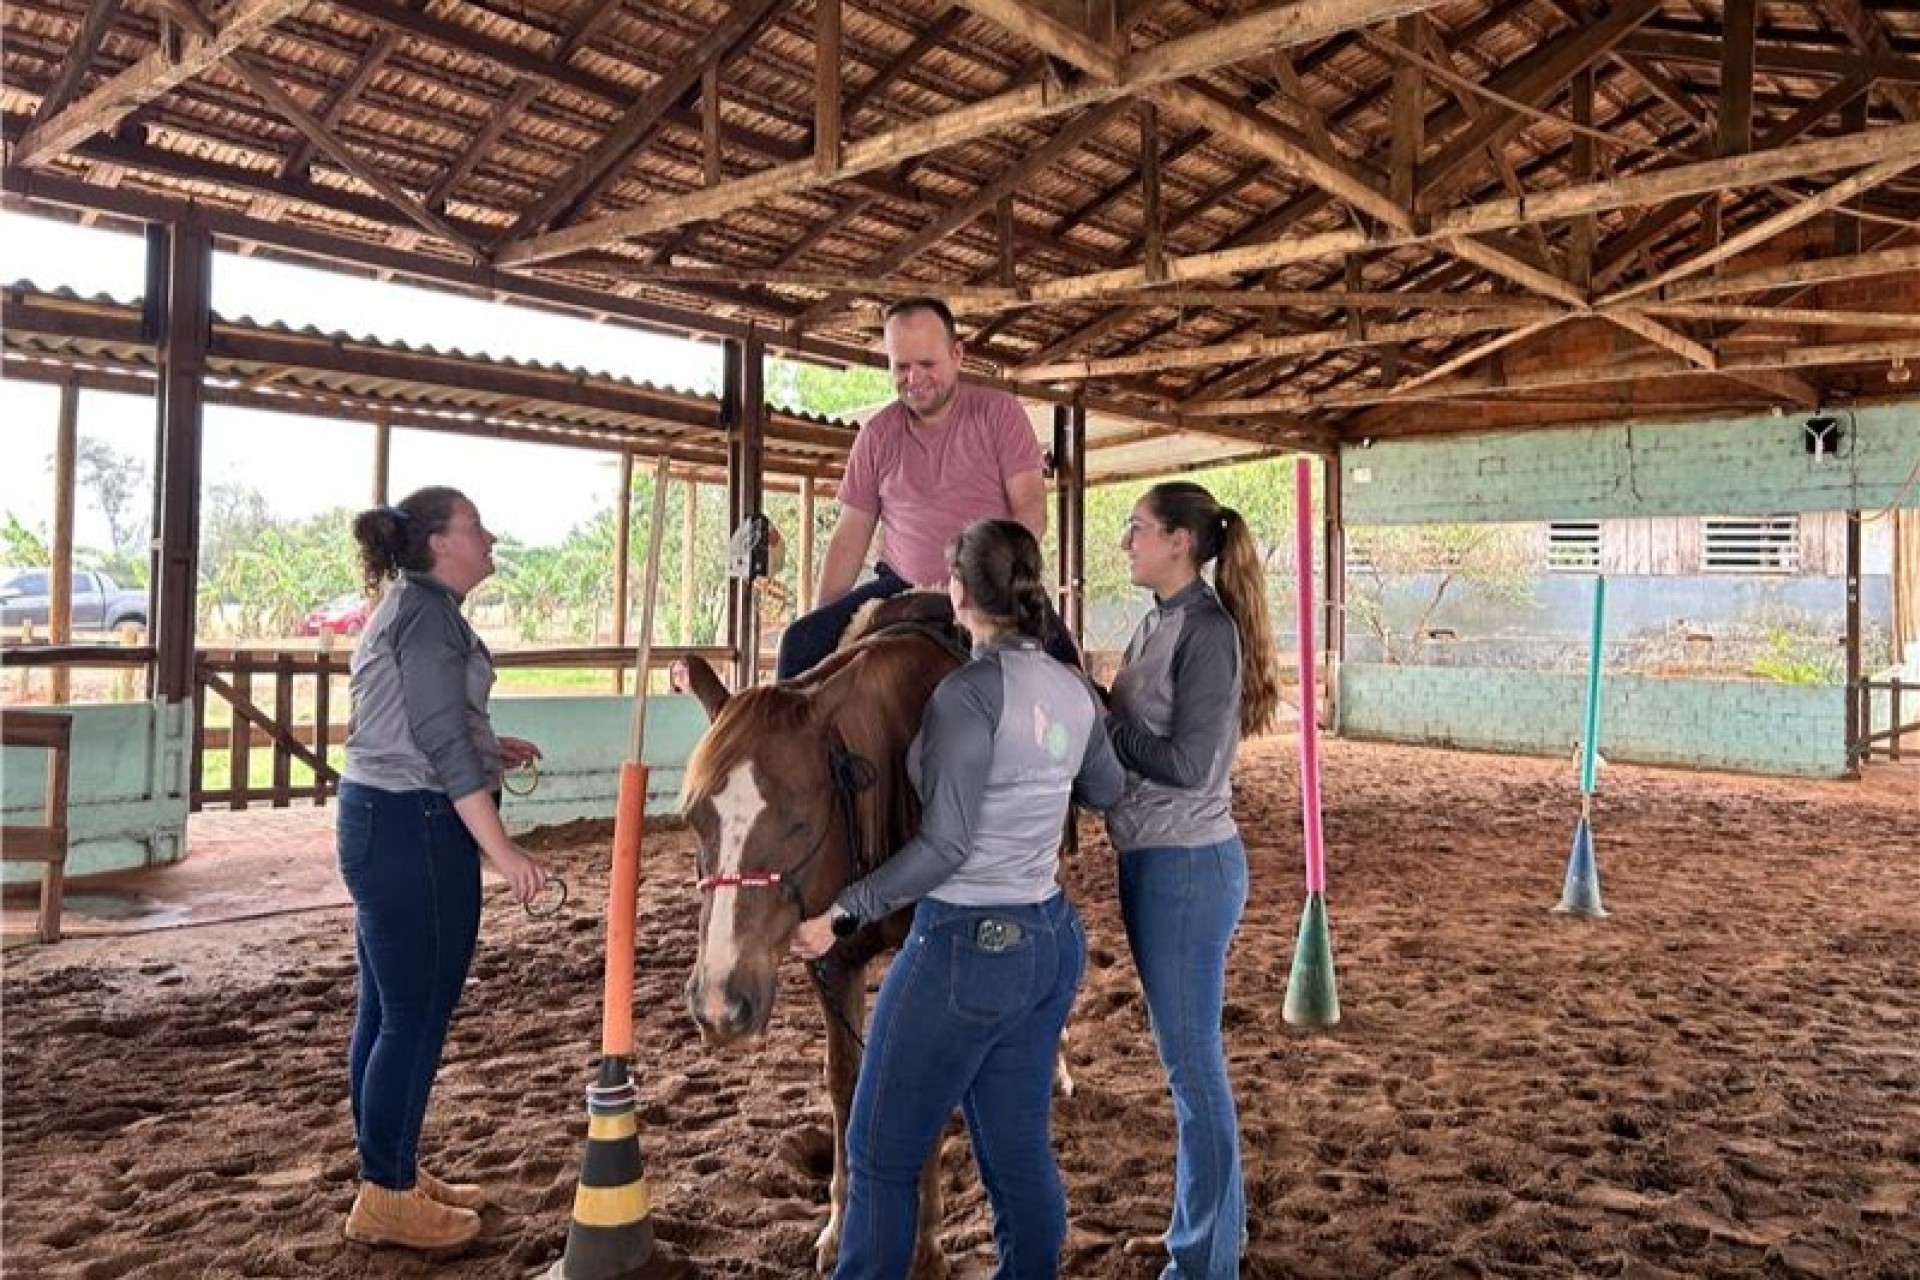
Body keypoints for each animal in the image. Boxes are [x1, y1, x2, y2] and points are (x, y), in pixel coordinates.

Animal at [683, 617, 967, 1274]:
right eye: (694, 819)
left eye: (800, 822)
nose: (720, 1006)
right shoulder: (834, 966)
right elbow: (844, 1082)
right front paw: (839, 1227)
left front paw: (927, 1242)